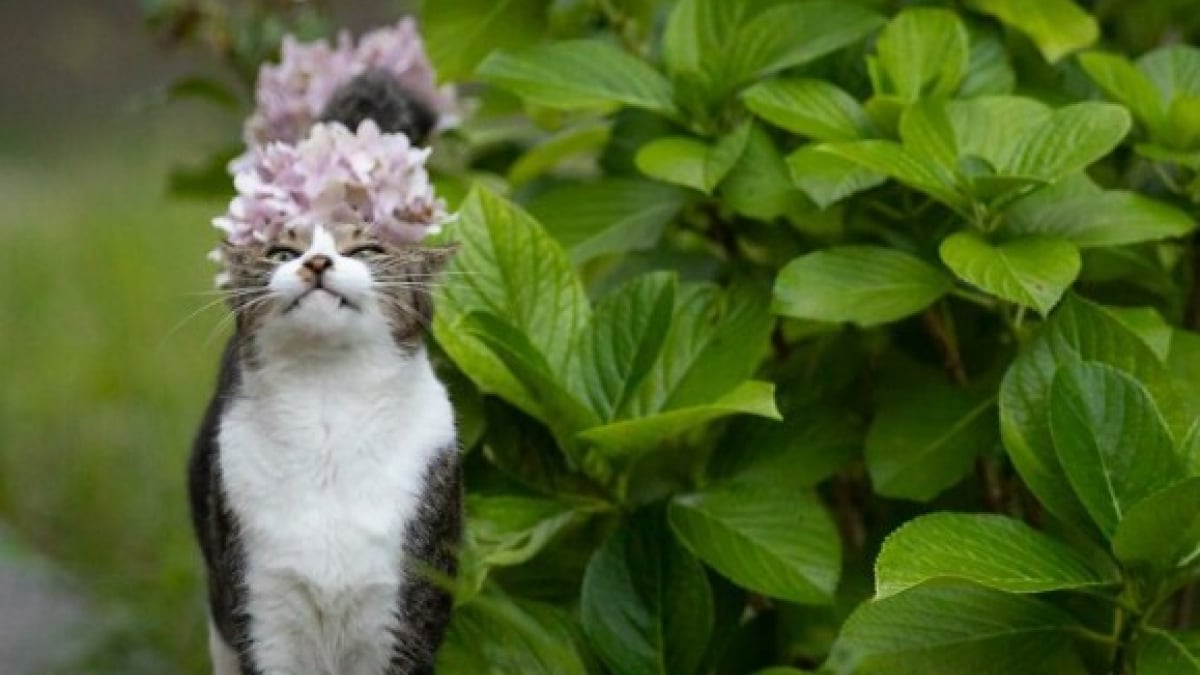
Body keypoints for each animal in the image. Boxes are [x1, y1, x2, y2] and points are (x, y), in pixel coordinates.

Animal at [189, 73, 460, 672]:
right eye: (280, 251)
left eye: (367, 248)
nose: (316, 262)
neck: (328, 403)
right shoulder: (260, 614)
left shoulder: (404, 616)